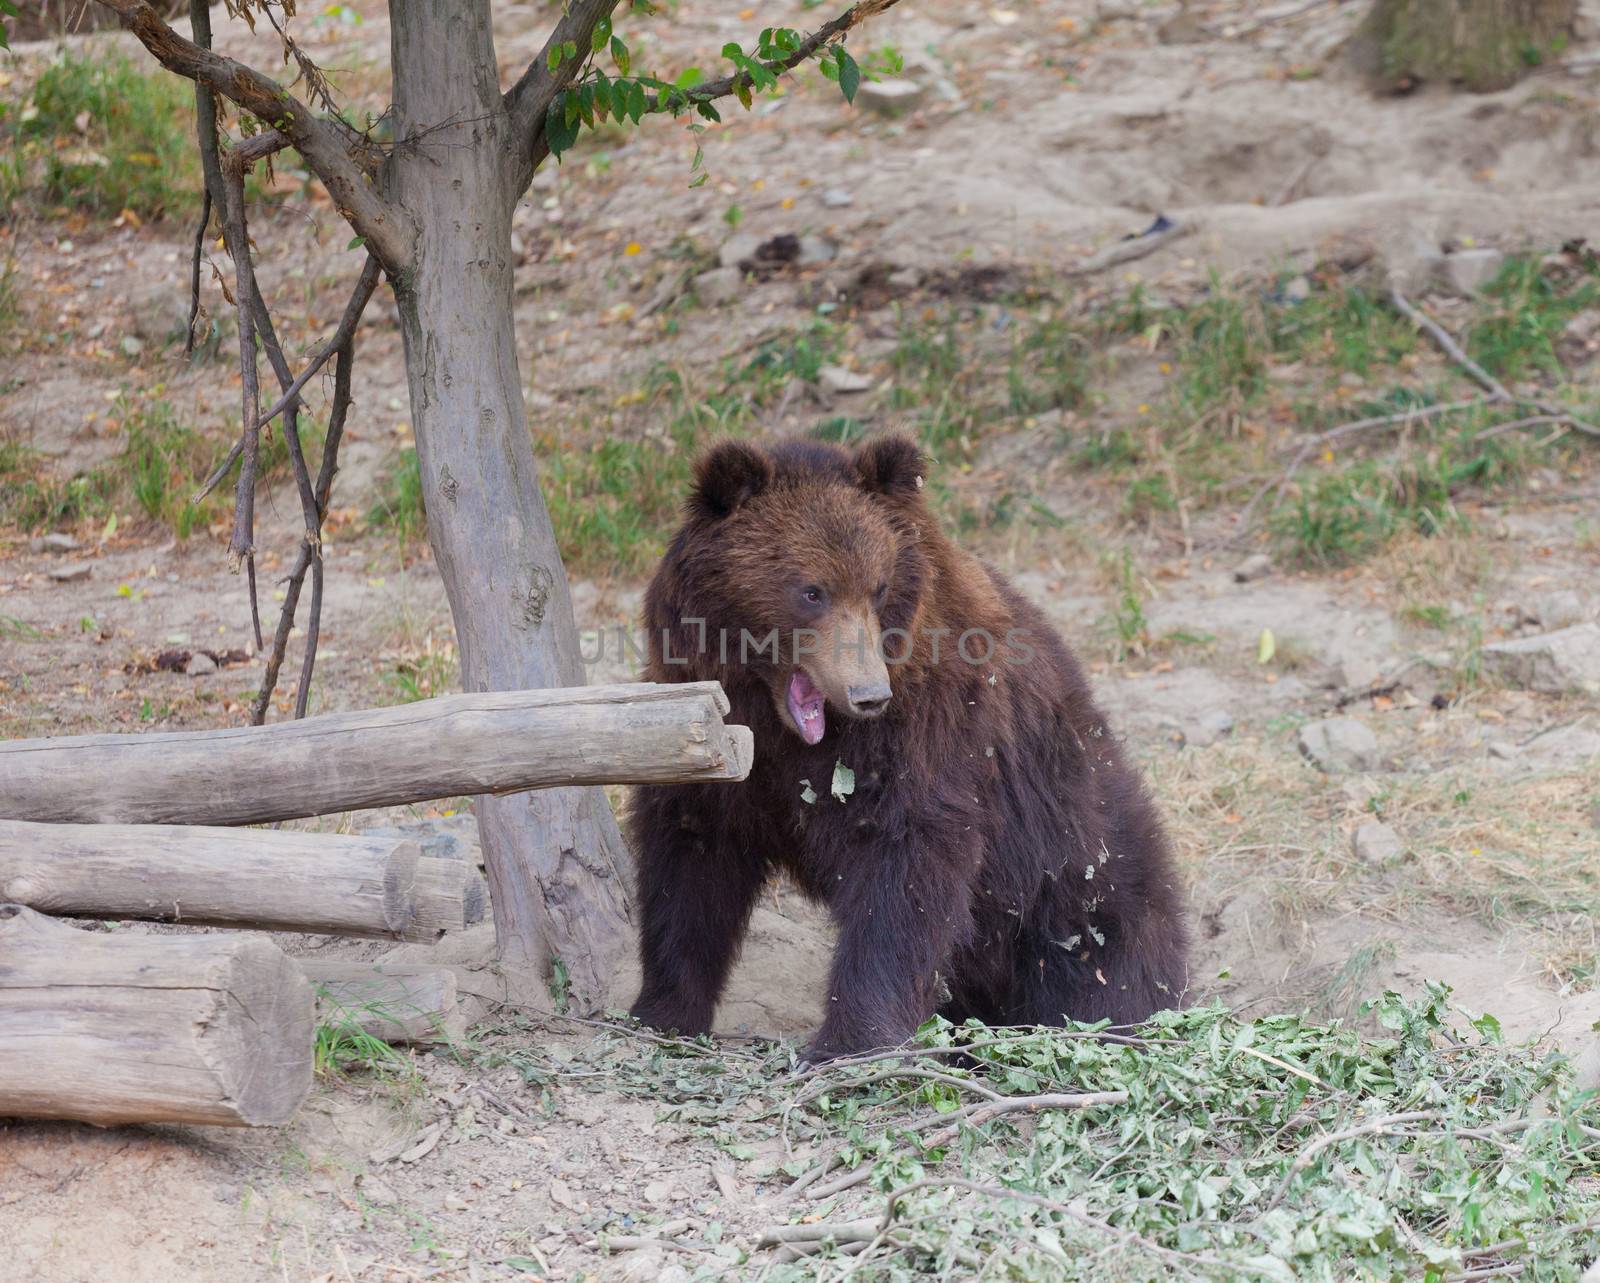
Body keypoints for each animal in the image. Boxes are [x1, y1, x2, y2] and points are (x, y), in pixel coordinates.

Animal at [624, 435, 1190, 1055]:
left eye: (878, 587)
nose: (868, 693)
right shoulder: (716, 748)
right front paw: (663, 1010)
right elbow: (692, 865)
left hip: (1078, 880)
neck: (778, 727)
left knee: (1106, 972)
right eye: (810, 591)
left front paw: (848, 1040)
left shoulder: (929, 732)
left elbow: (905, 870)